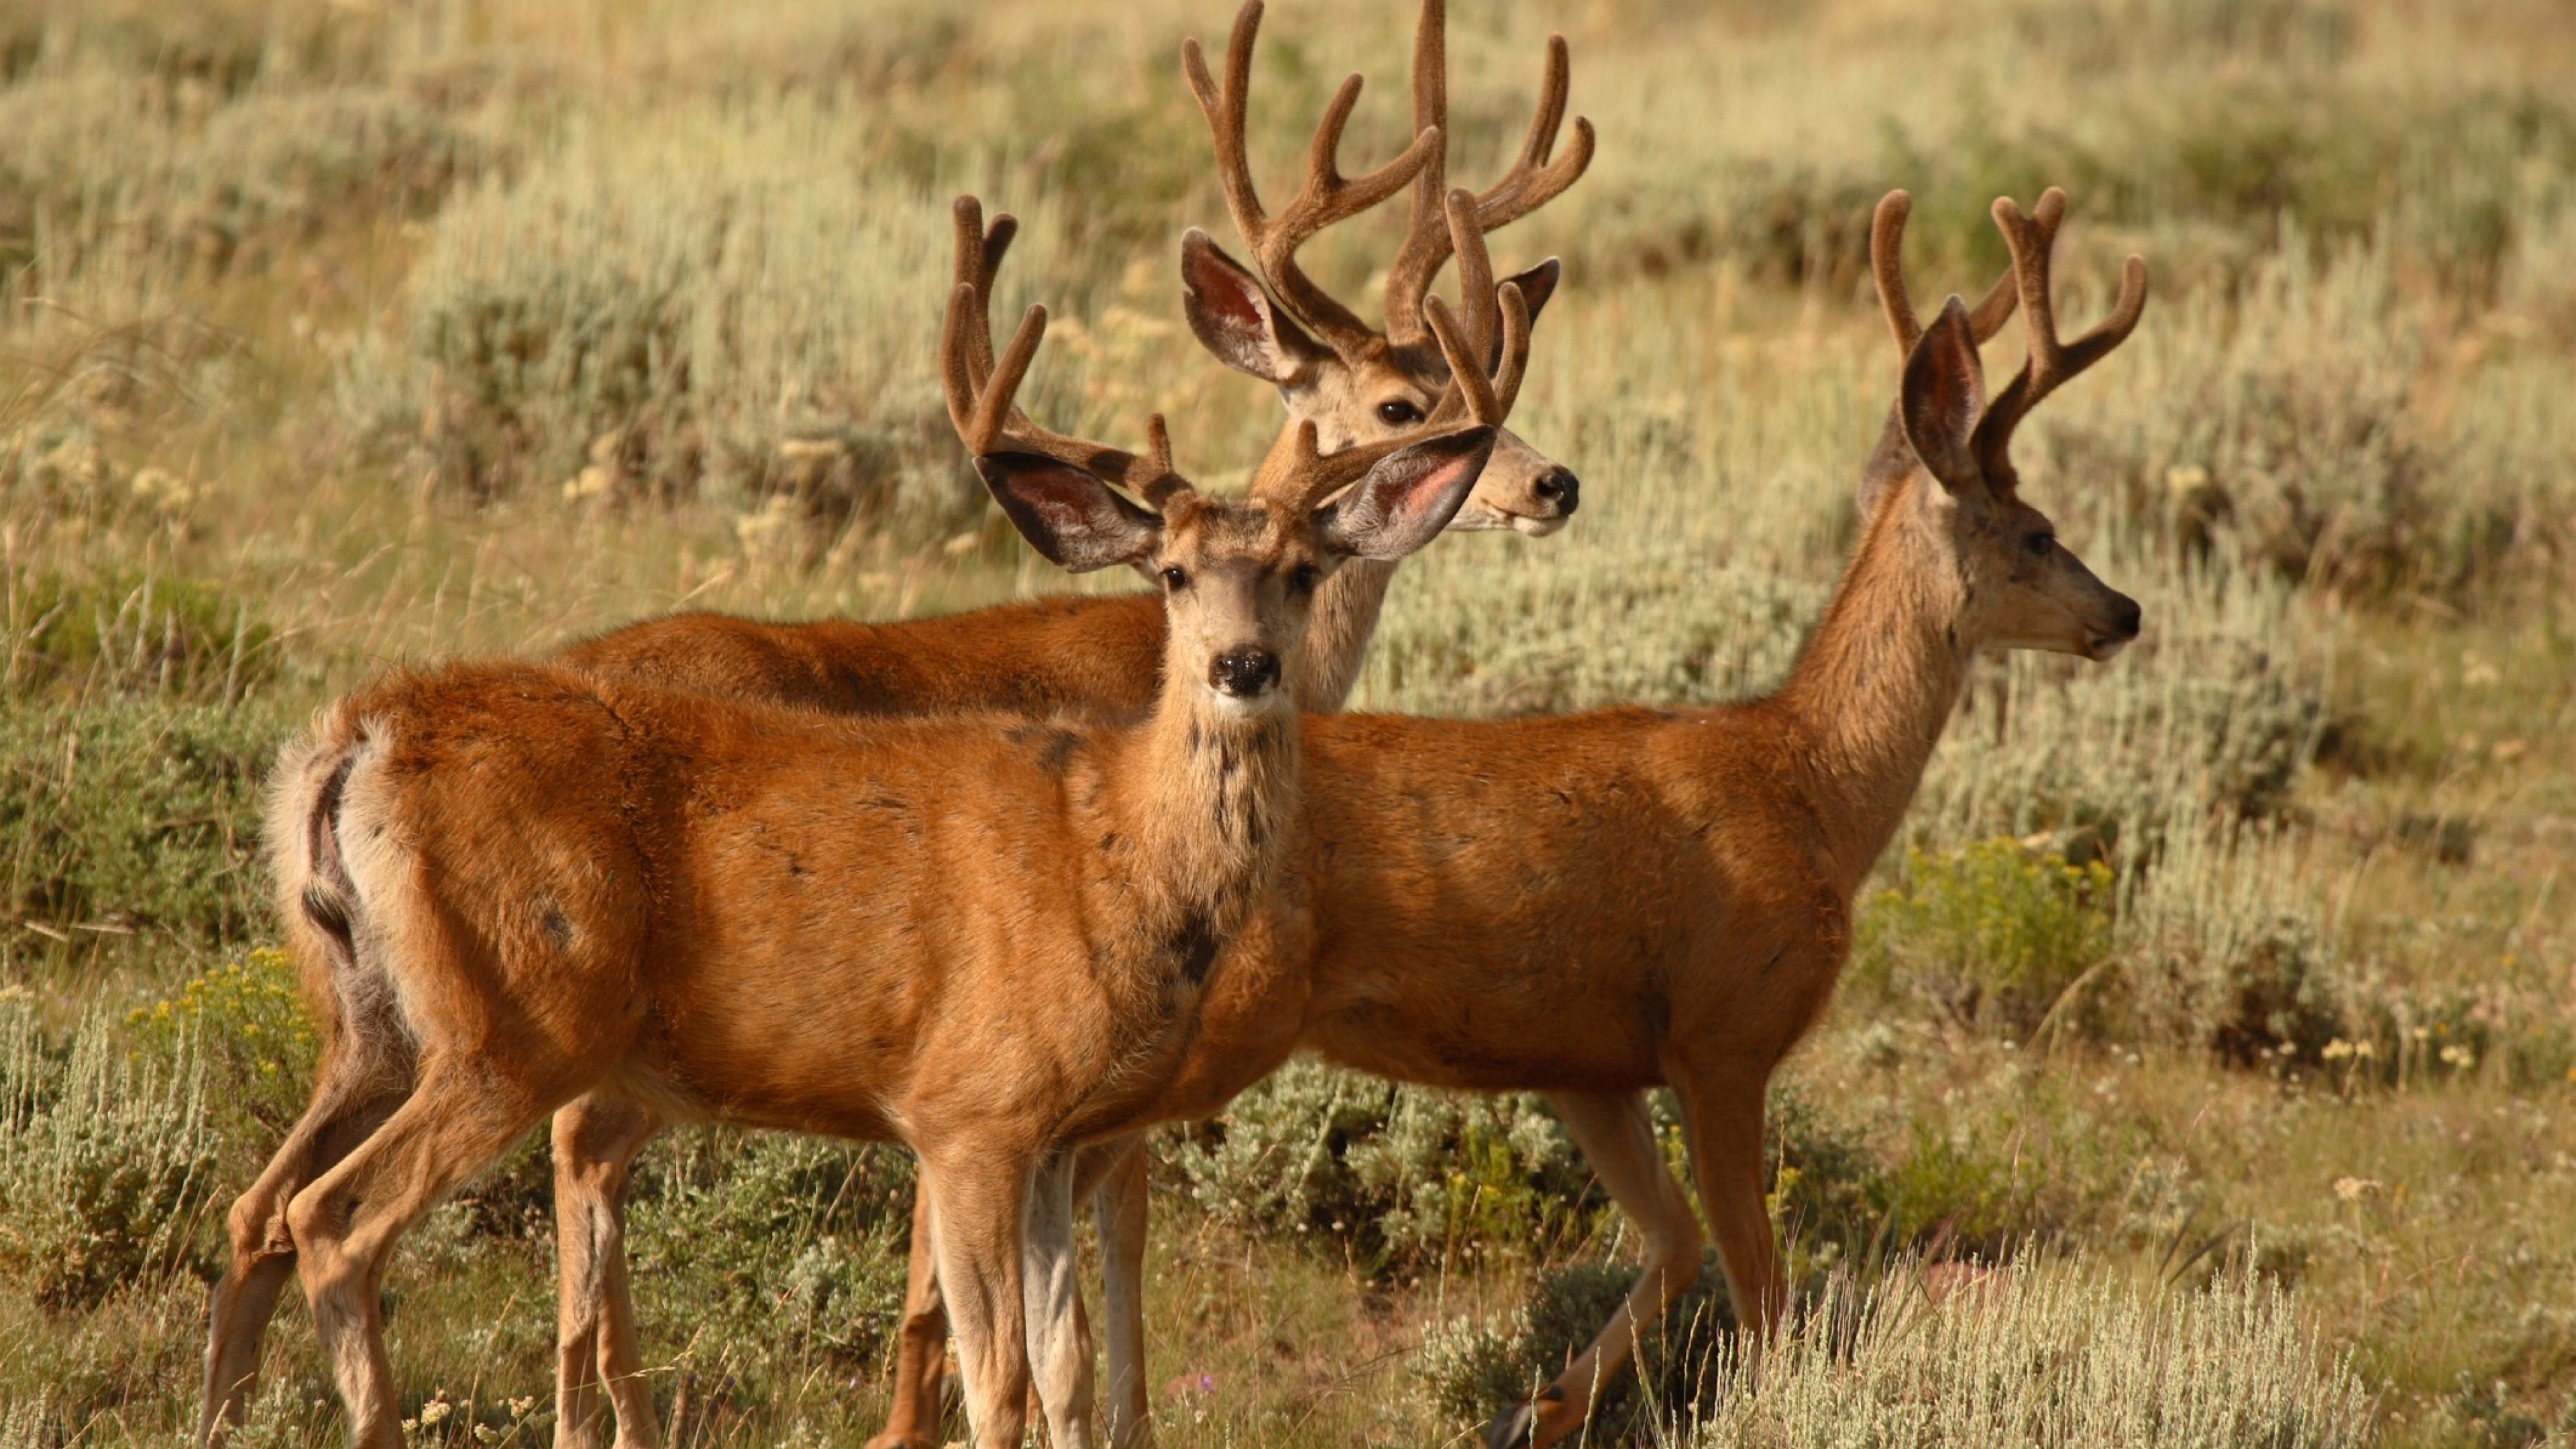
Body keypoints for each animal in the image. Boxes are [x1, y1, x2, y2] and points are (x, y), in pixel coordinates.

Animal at [194, 192, 1508, 1449]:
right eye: (1173, 575)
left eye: (1300, 569)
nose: (1242, 665)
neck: (1117, 852)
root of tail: (355, 737)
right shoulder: (970, 1109)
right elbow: (1003, 1382)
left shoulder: (1055, 1129)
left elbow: (1068, 1374)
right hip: (513, 1021)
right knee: (341, 1219)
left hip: (374, 1015)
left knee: (263, 1206)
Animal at [981, 185, 2149, 1449]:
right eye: (2036, 531)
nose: (2125, 611)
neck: (1811, 787)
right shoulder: (1726, 1034)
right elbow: (1762, 1288)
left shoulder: (1589, 1064)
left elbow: (1675, 1245)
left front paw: (1531, 1411)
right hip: (1207, 1026)